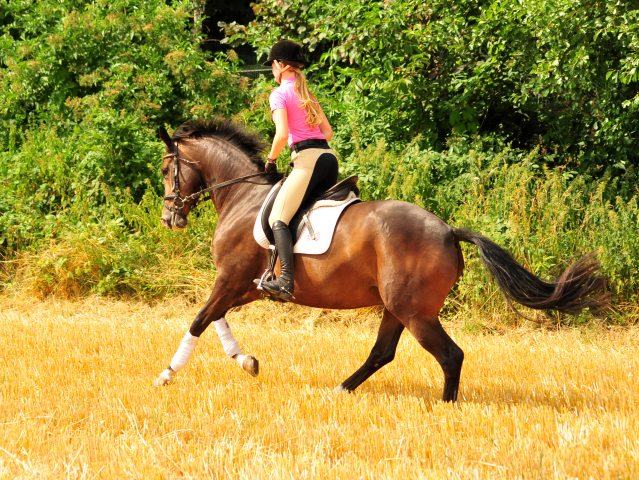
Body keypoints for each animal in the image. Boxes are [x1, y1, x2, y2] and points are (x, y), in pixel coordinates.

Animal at [152, 118, 608, 404]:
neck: (242, 196)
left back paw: (445, 408)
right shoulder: (244, 285)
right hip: (396, 305)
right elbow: (216, 318)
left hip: (413, 309)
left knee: (450, 355)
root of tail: (448, 231)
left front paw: (167, 374)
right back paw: (342, 390)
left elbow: (200, 319)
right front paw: (246, 361)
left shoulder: (231, 278)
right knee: (382, 352)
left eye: (166, 169)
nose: (169, 217)